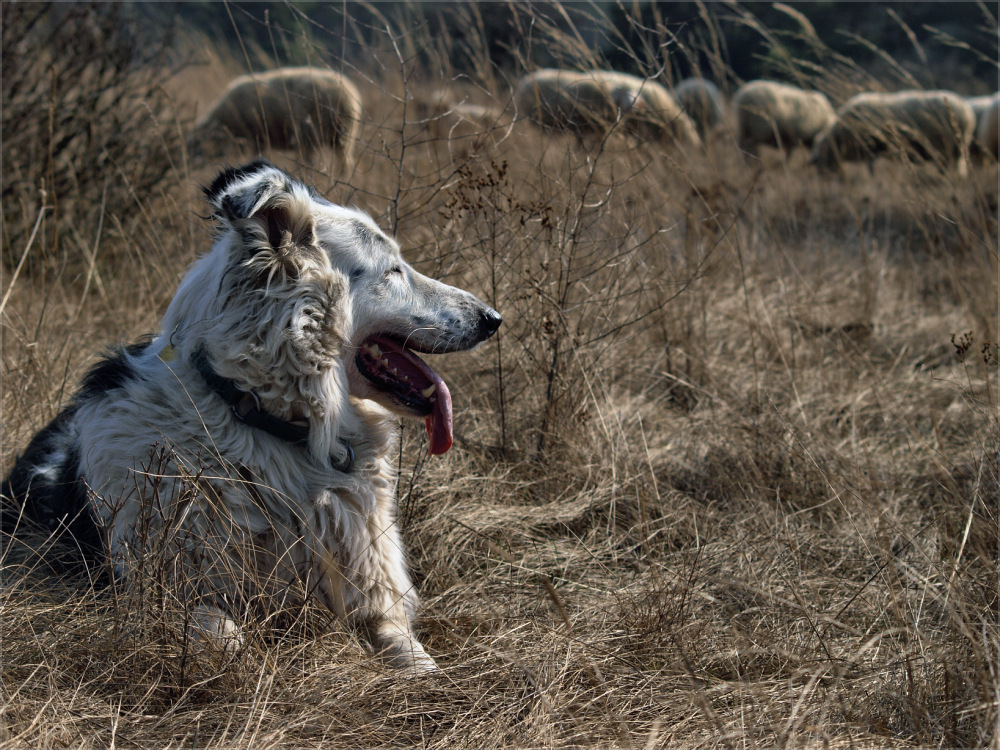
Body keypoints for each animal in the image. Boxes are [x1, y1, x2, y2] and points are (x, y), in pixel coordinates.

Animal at [0, 160, 500, 676]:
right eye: (393, 270)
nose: (493, 318)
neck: (268, 427)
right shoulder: (159, 593)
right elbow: (227, 637)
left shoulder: (374, 595)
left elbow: (416, 658)